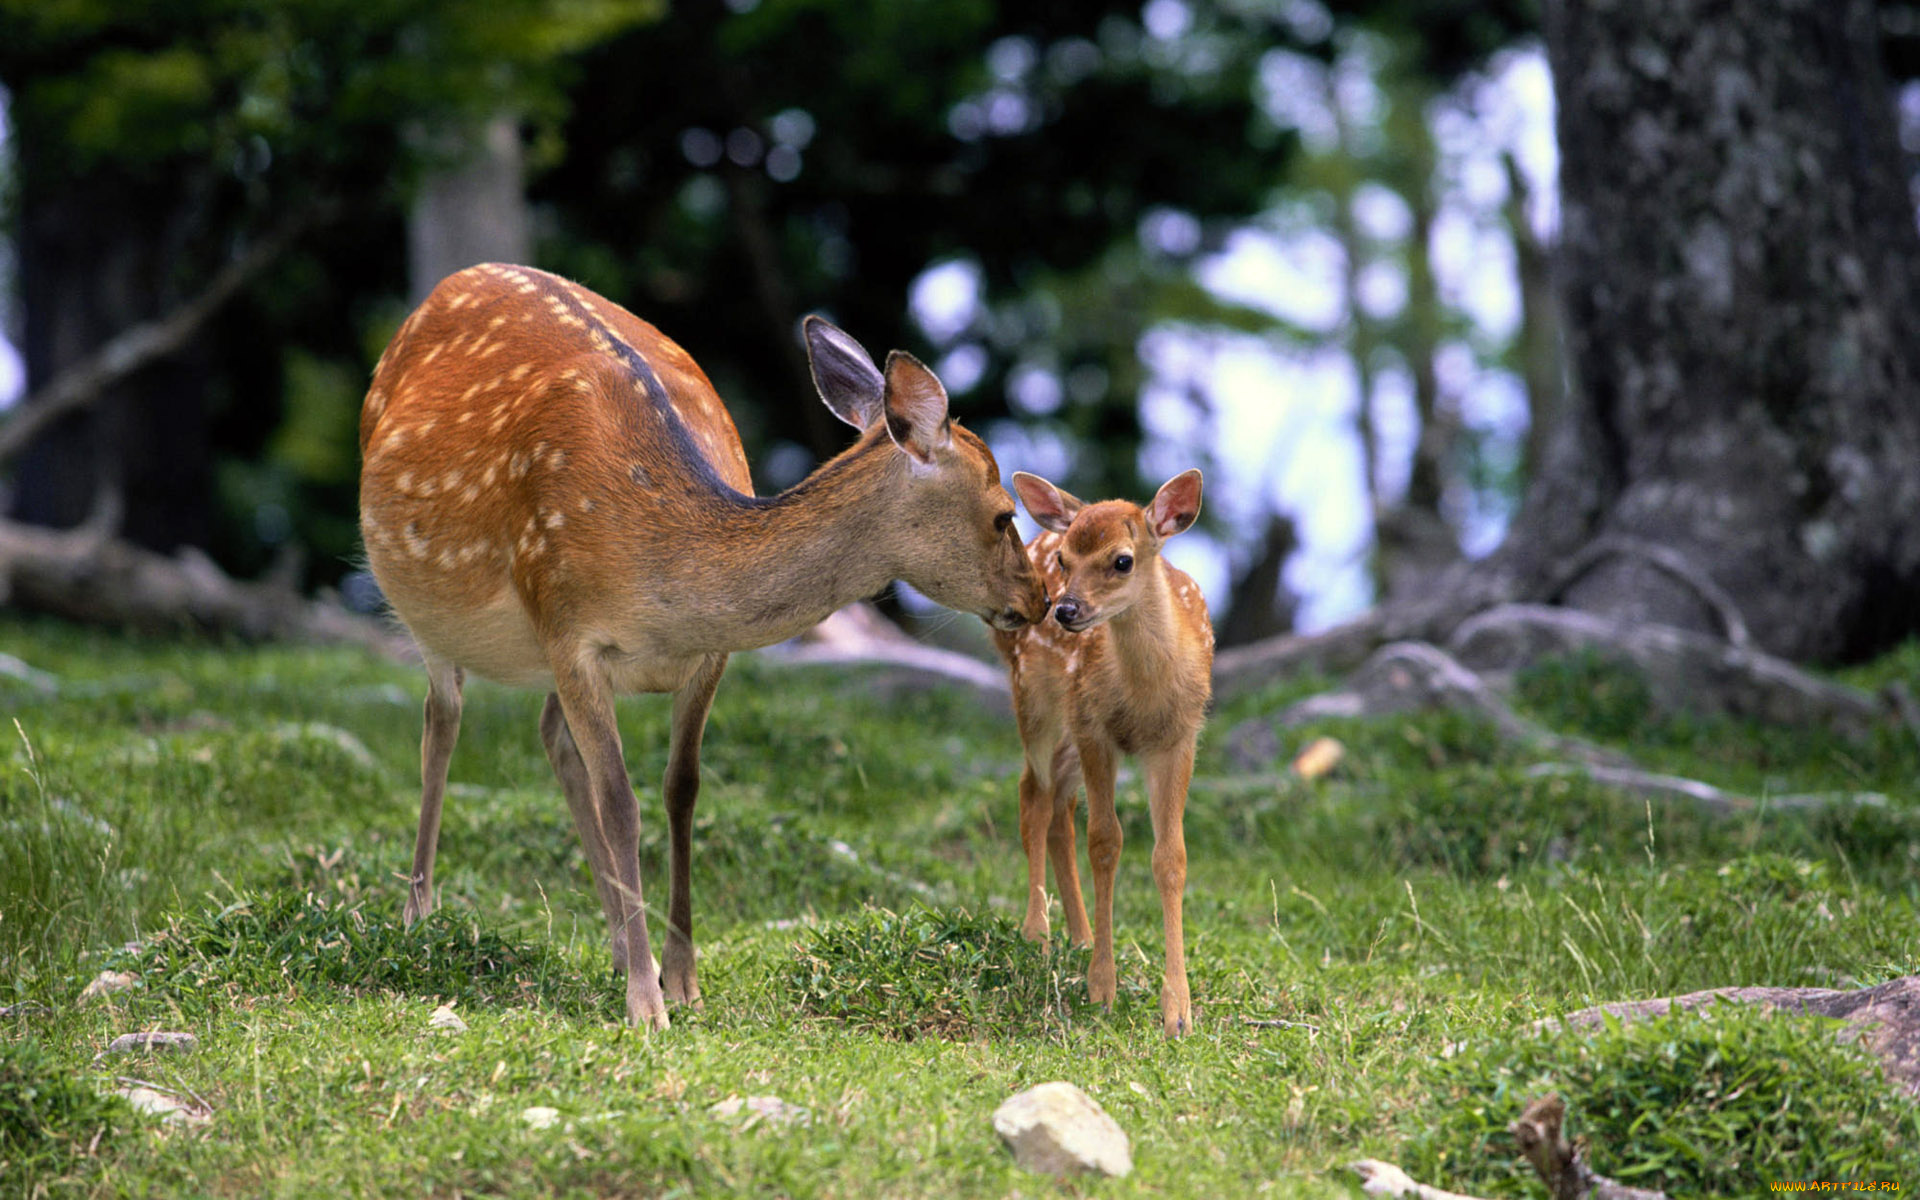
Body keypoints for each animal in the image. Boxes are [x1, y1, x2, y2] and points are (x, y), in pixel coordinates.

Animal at [360, 264, 1052, 1029]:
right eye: (1003, 515)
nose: (1041, 601)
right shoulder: (568, 628)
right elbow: (621, 800)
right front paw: (645, 1006)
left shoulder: (707, 657)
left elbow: (681, 789)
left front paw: (682, 979)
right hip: (428, 607)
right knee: (441, 722)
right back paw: (419, 914)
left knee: (551, 736)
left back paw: (617, 944)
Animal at [990, 468, 1213, 1029]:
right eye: (1065, 561)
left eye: (1122, 560)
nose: (1065, 609)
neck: (1143, 695)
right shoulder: (1095, 728)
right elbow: (1105, 843)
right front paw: (1102, 989)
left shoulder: (1179, 736)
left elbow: (1170, 856)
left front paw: (1178, 1011)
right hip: (1036, 699)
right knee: (1033, 796)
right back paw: (1038, 934)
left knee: (1059, 809)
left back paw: (1080, 935)